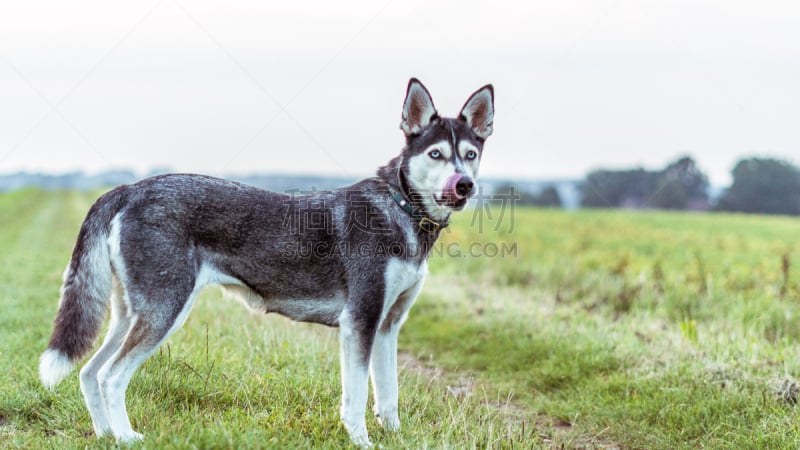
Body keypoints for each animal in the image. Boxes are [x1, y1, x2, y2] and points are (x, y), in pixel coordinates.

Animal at [42, 78, 494, 446]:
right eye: (436, 154)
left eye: (470, 154)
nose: (465, 185)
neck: (400, 208)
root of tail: (129, 189)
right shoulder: (360, 322)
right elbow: (357, 397)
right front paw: (361, 440)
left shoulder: (387, 326)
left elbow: (389, 394)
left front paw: (393, 436)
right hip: (163, 309)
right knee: (111, 375)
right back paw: (125, 437)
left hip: (130, 313)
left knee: (88, 372)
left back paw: (105, 434)